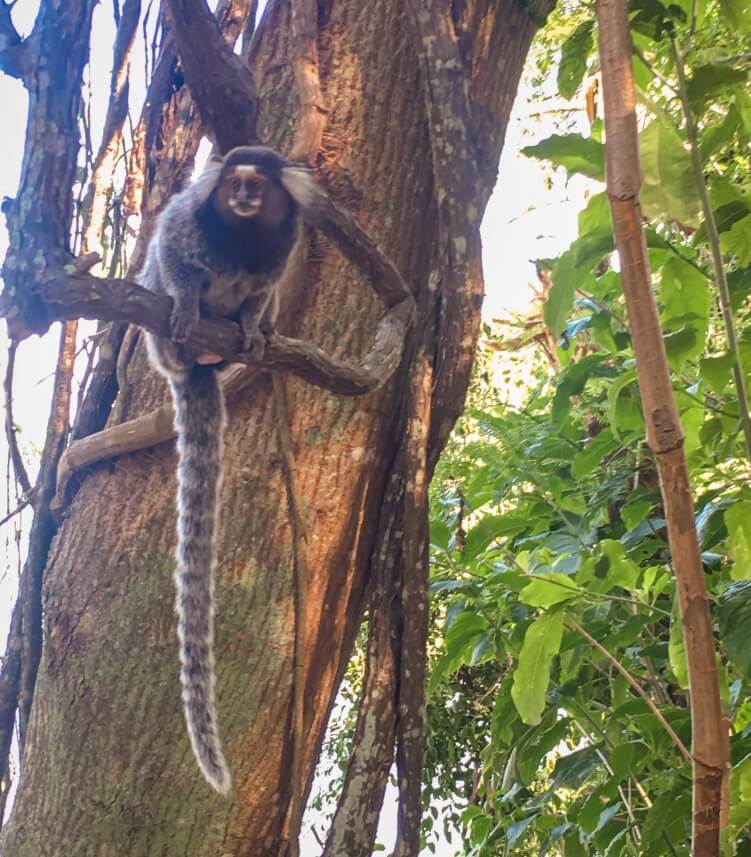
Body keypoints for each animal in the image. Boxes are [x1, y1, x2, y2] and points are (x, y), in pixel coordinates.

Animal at [141, 144, 320, 792]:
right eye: (233, 184)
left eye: (257, 186)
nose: (241, 197)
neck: (243, 234)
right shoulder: (185, 229)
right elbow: (171, 250)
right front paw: (187, 302)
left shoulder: (277, 255)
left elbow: (260, 292)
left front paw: (252, 325)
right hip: (162, 347)